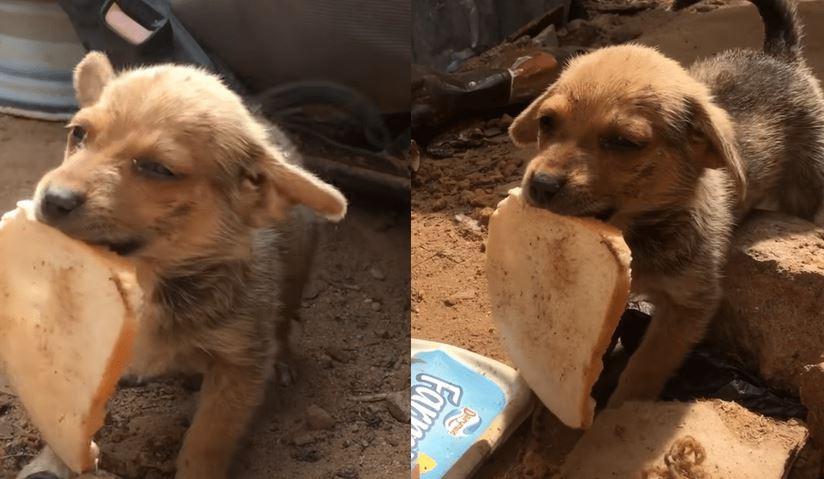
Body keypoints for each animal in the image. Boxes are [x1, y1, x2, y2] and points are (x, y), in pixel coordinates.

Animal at [19, 53, 346, 479]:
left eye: (158, 169)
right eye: (79, 133)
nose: (53, 199)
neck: (150, 280)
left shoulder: (238, 368)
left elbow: (204, 443)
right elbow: (65, 411)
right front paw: (52, 461)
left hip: (296, 273)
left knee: (285, 318)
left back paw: (284, 360)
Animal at [508, 0, 824, 408]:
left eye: (623, 143)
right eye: (546, 122)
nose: (541, 185)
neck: (638, 233)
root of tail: (777, 58)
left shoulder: (687, 306)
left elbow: (644, 368)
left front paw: (618, 411)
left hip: (806, 184)